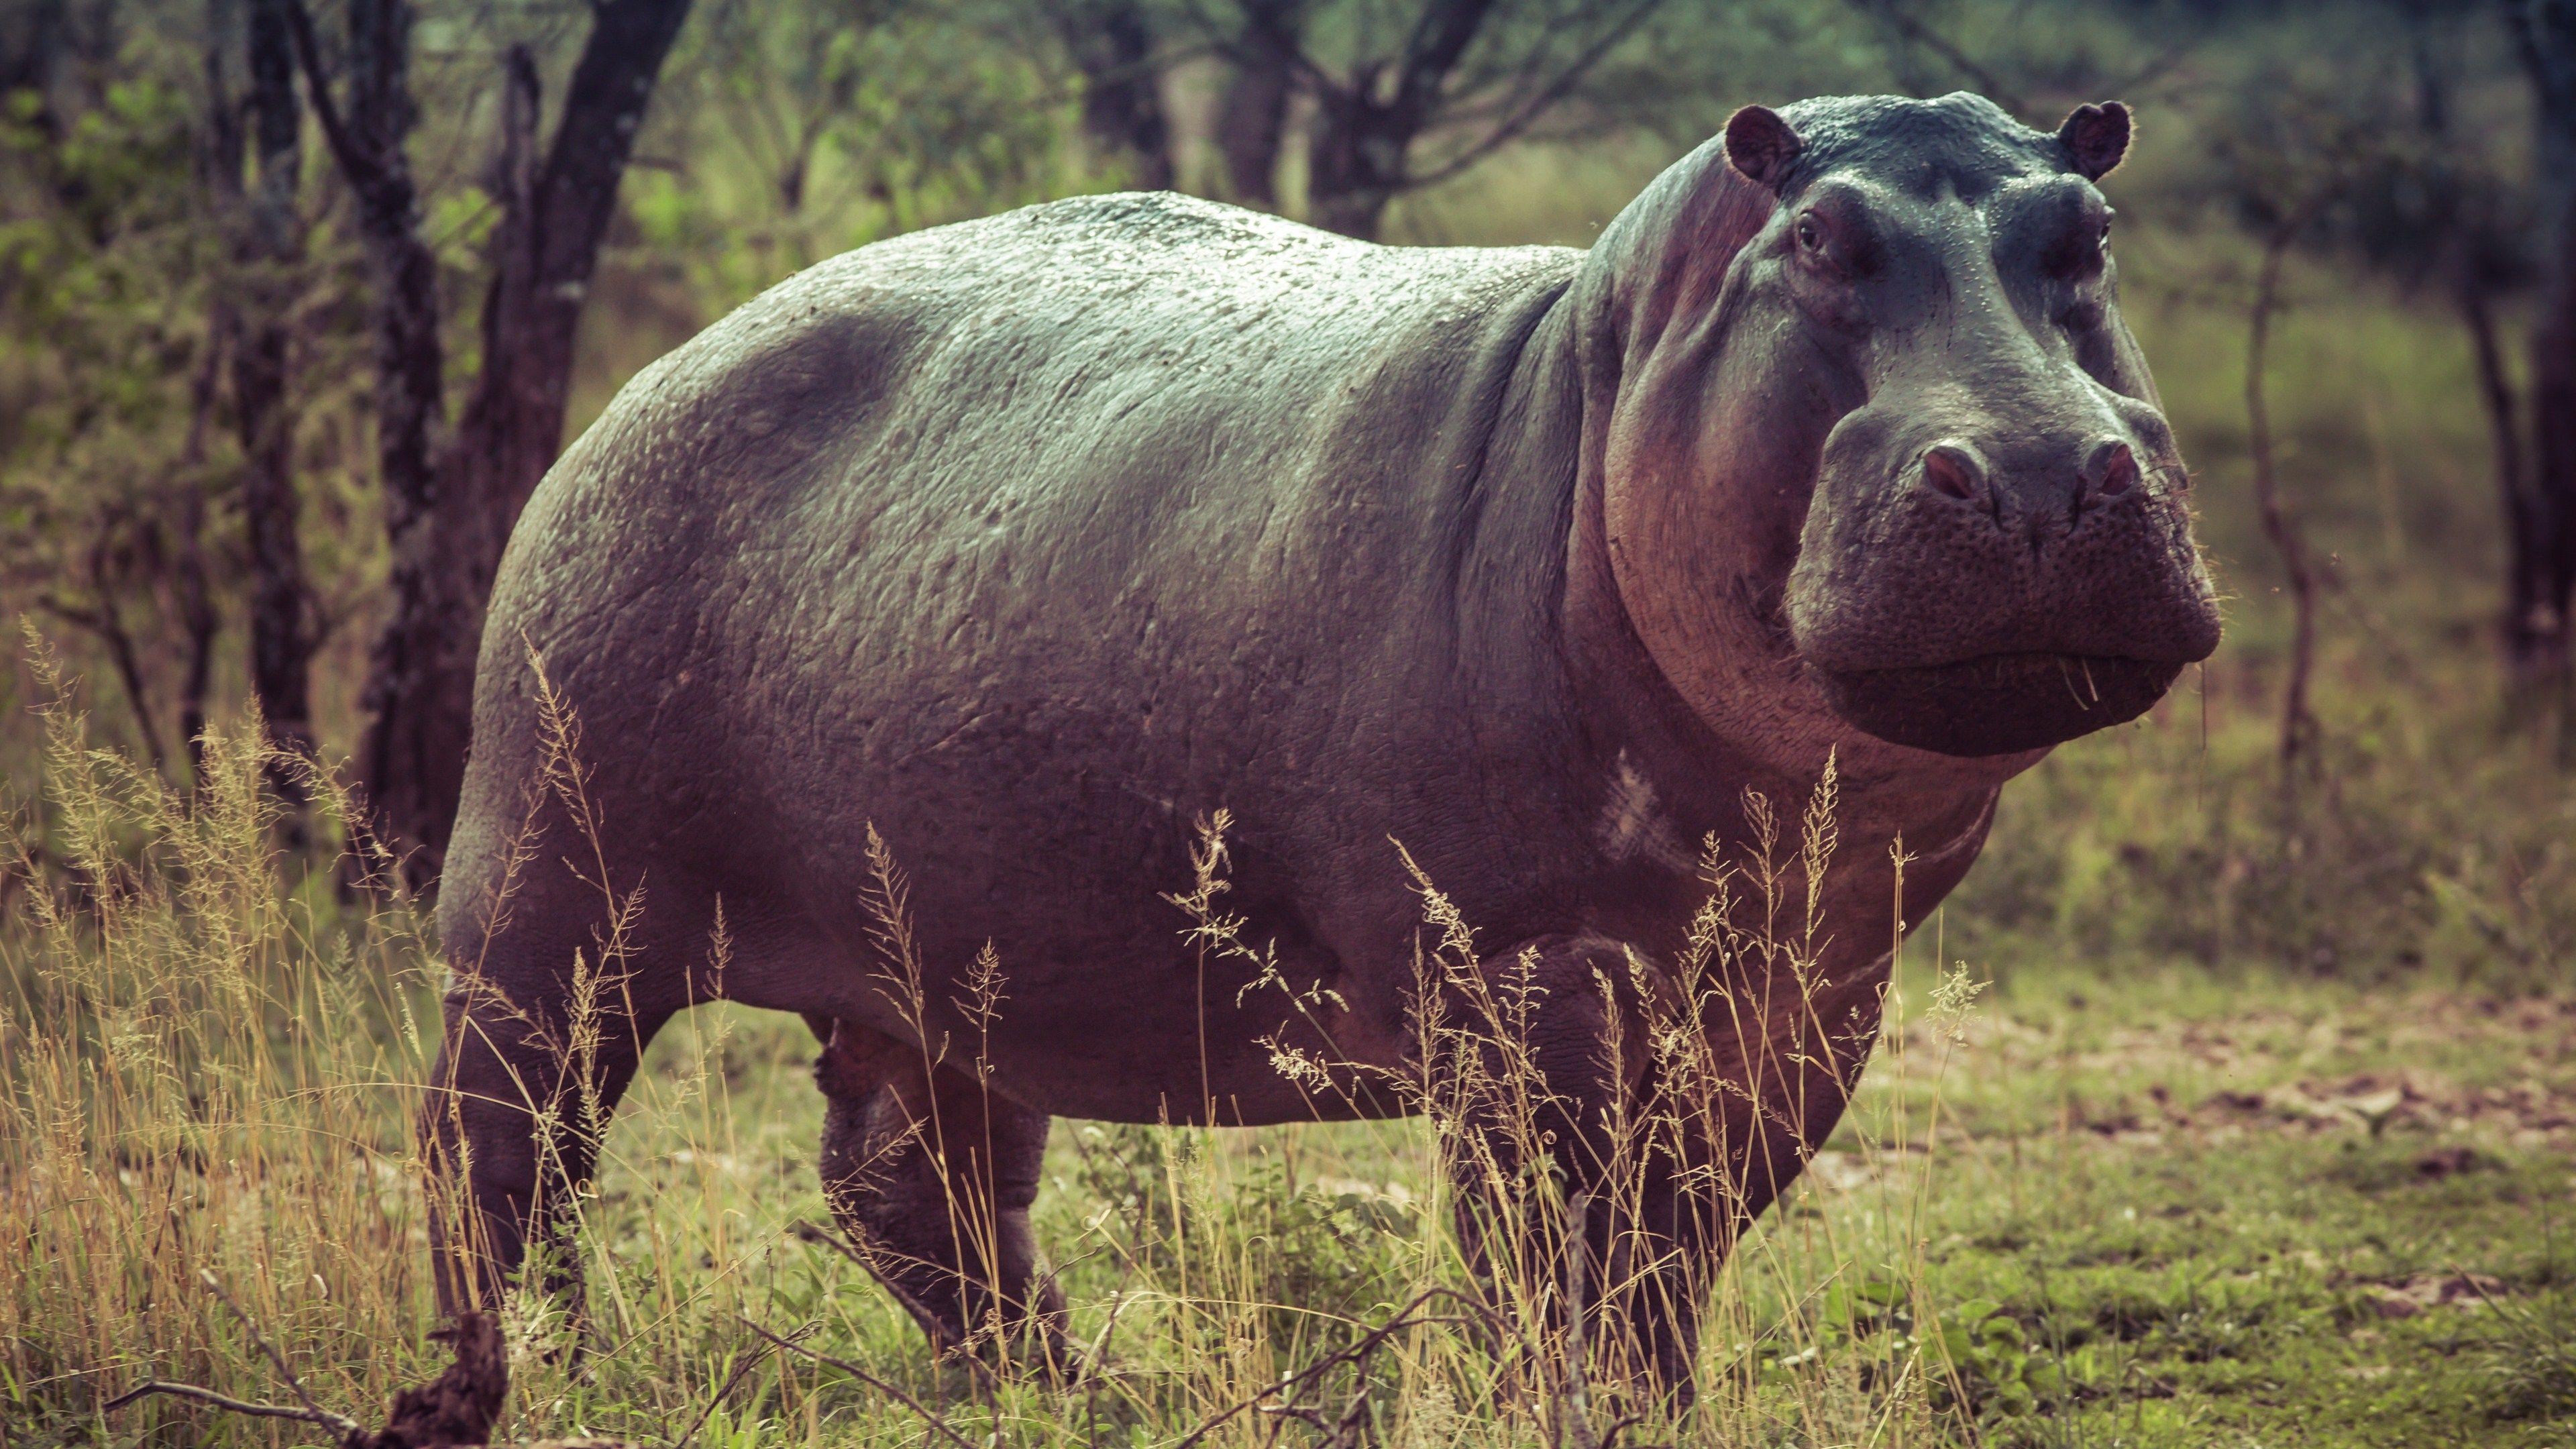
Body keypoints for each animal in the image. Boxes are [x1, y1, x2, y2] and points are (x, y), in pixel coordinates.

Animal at [427, 91, 2219, 1392]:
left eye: (2091, 236)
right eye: (1822, 239)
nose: (2040, 468)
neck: (1606, 370)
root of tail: (658, 369)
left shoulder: (1809, 996)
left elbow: (1665, 1273)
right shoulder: (1524, 985)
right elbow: (1550, 1271)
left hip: (937, 962)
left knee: (915, 1189)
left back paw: (1072, 1396)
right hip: (547, 895)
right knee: (495, 1157)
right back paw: (505, 1382)